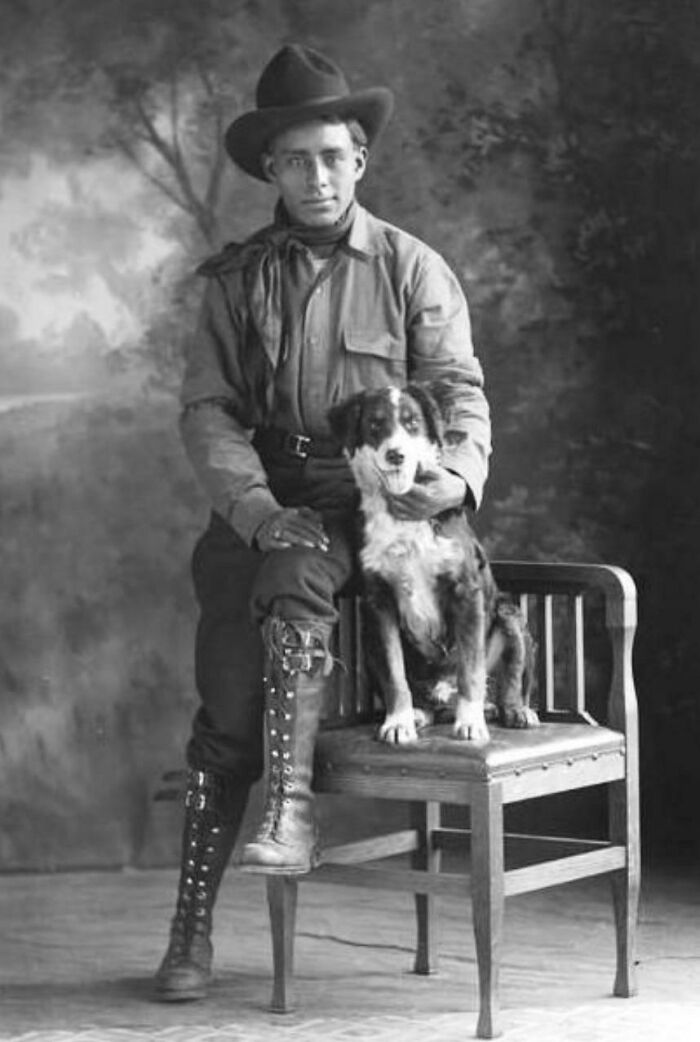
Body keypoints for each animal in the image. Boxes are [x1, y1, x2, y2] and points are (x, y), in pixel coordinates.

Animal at [329, 381, 541, 741]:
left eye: (412, 422)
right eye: (375, 424)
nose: (395, 454)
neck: (404, 518)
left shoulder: (465, 592)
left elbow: (471, 669)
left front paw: (470, 722)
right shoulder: (379, 602)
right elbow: (395, 674)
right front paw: (398, 722)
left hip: (509, 616)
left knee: (511, 678)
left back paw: (513, 711)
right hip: (368, 641)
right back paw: (419, 714)